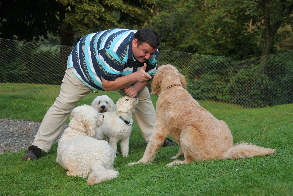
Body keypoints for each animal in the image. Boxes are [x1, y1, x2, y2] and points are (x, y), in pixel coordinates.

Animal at [129, 64, 274, 167]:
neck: (172, 87)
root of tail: (223, 153)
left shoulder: (160, 129)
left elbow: (150, 148)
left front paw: (139, 162)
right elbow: (180, 147)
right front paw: (177, 155)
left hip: (188, 130)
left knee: (190, 161)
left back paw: (175, 163)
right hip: (221, 122)